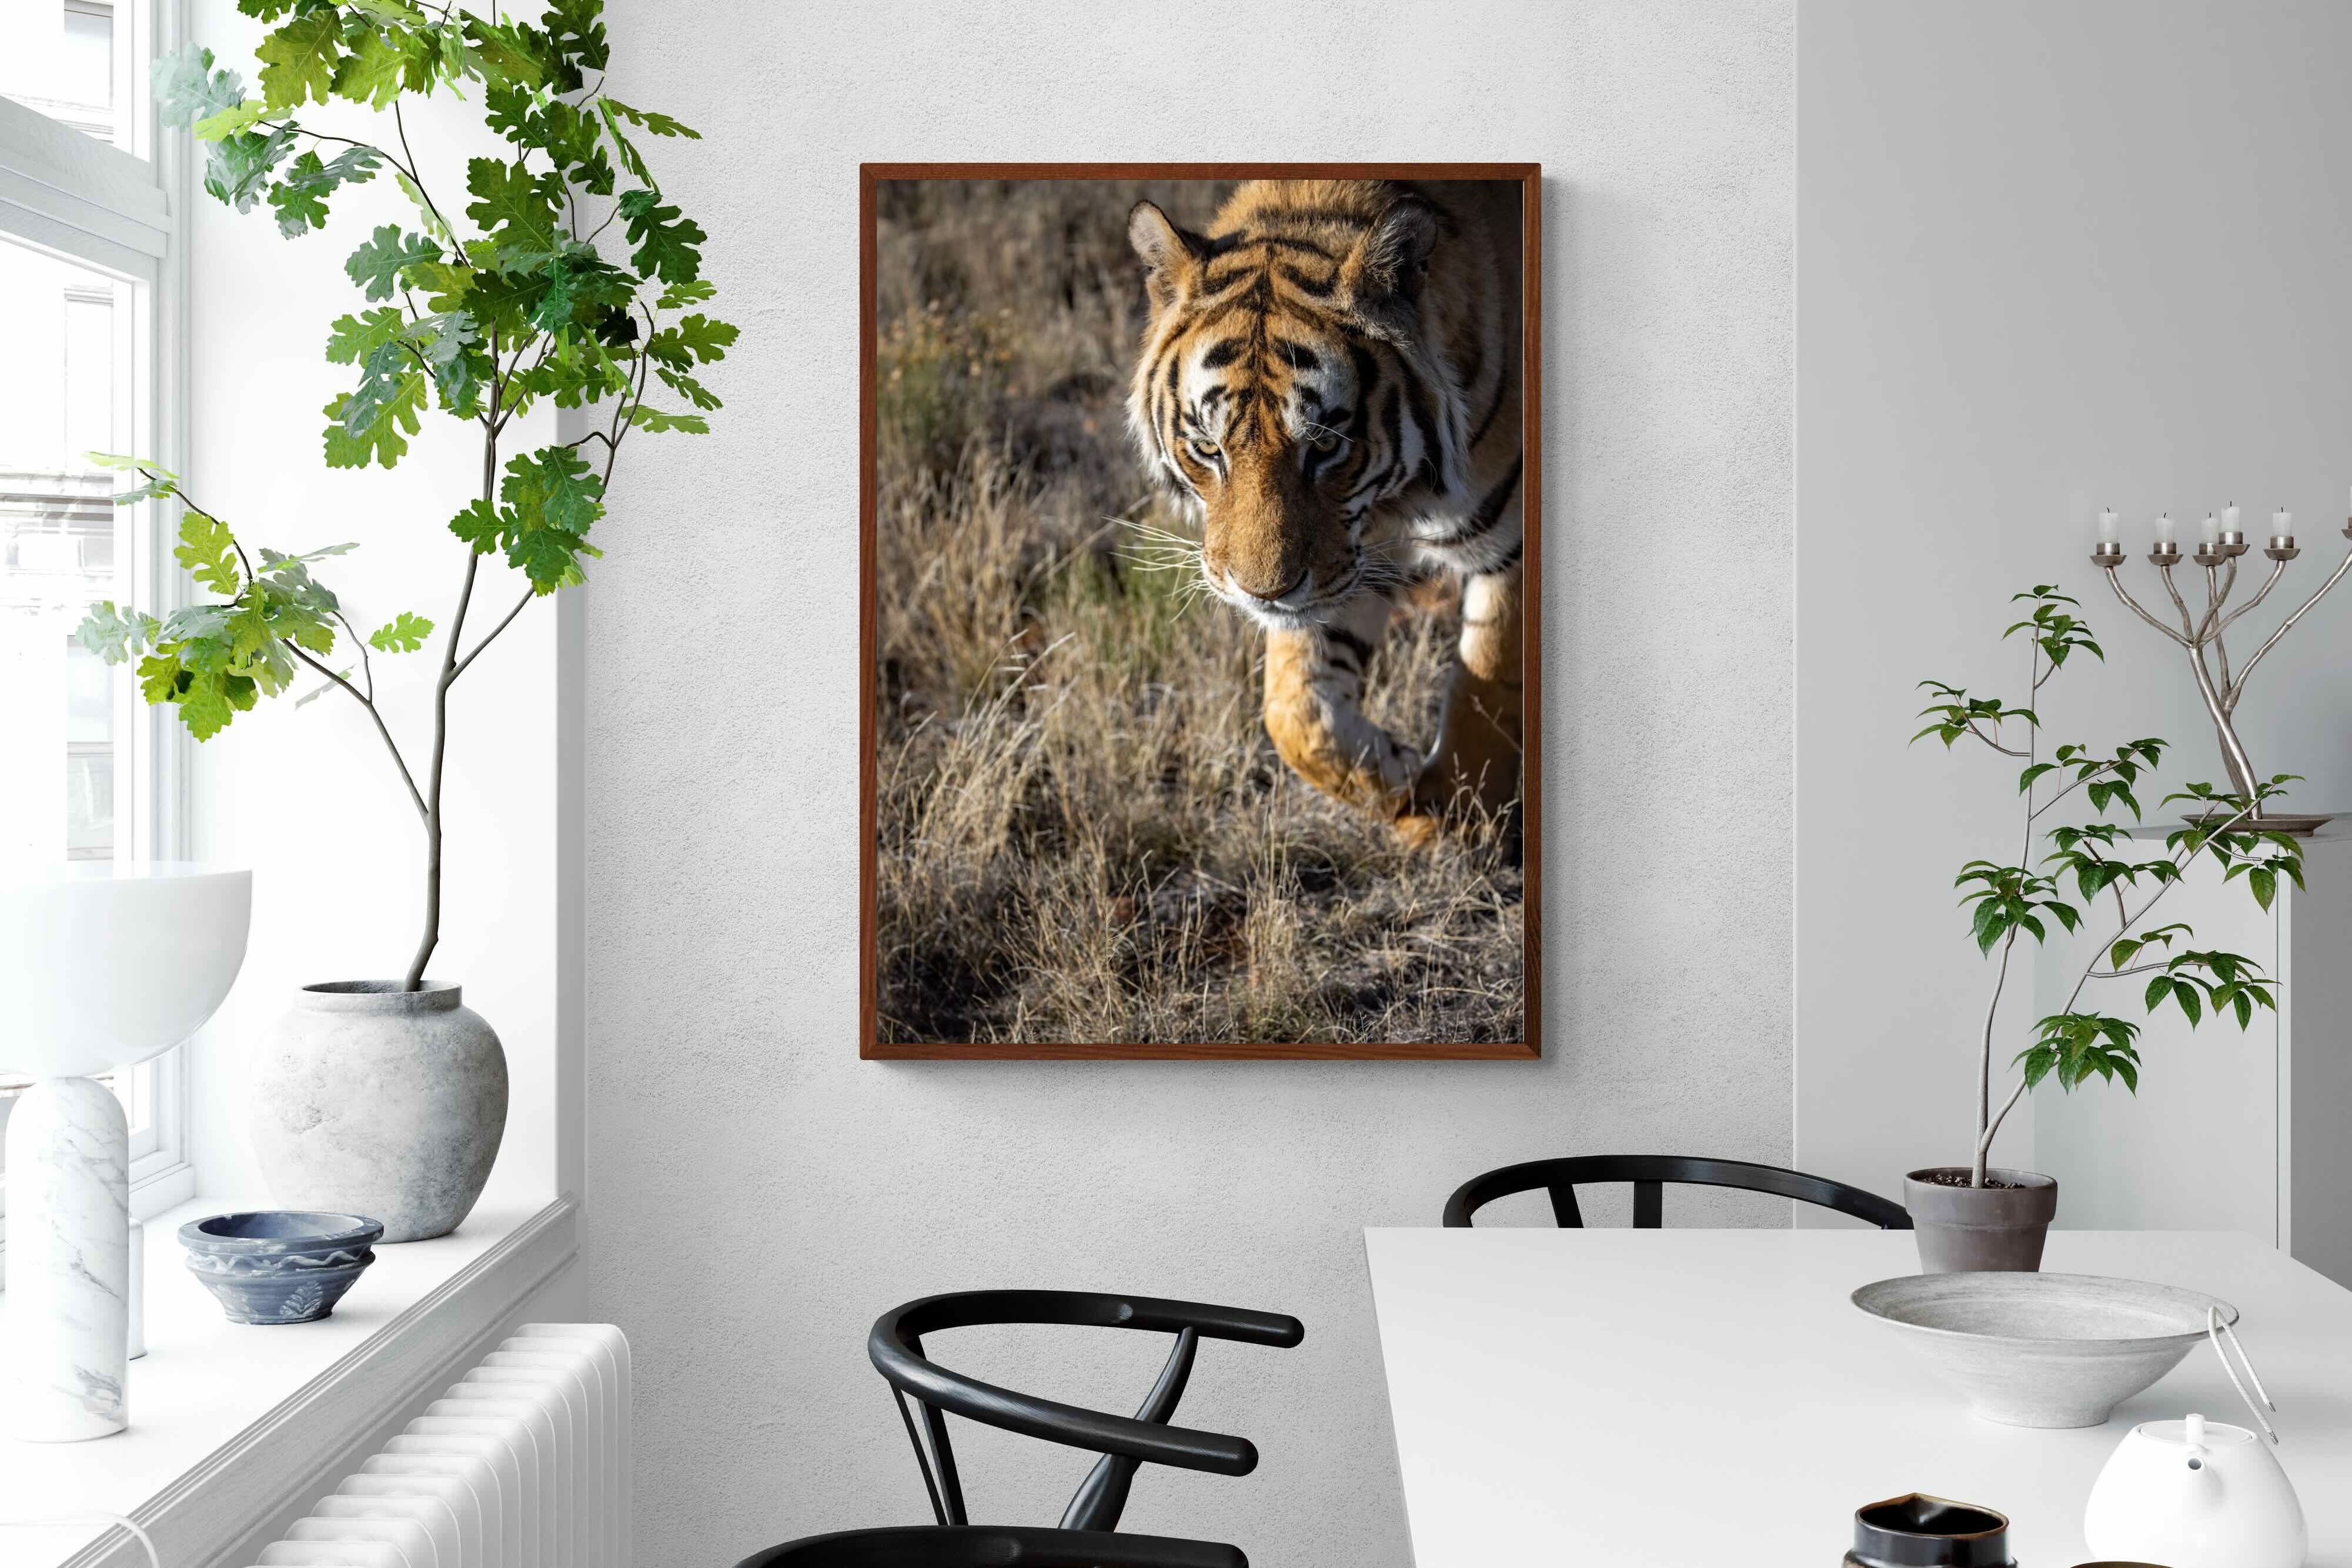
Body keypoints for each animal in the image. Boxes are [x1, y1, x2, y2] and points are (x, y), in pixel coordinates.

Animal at [1126, 178, 1524, 846]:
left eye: (1326, 445)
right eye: (1208, 448)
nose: (1262, 593)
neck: (1398, 500)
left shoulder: (1512, 549)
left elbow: (1486, 689)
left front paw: (1458, 820)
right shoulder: (1348, 562)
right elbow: (1295, 713)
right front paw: (1398, 779)